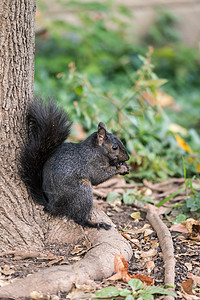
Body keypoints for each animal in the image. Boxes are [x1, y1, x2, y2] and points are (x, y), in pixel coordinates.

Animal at [19, 101, 130, 230]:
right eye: (114, 147)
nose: (128, 157)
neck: (95, 151)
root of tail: (53, 206)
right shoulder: (92, 163)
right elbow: (98, 176)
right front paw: (120, 167)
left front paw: (125, 166)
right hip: (82, 191)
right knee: (80, 219)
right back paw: (96, 223)